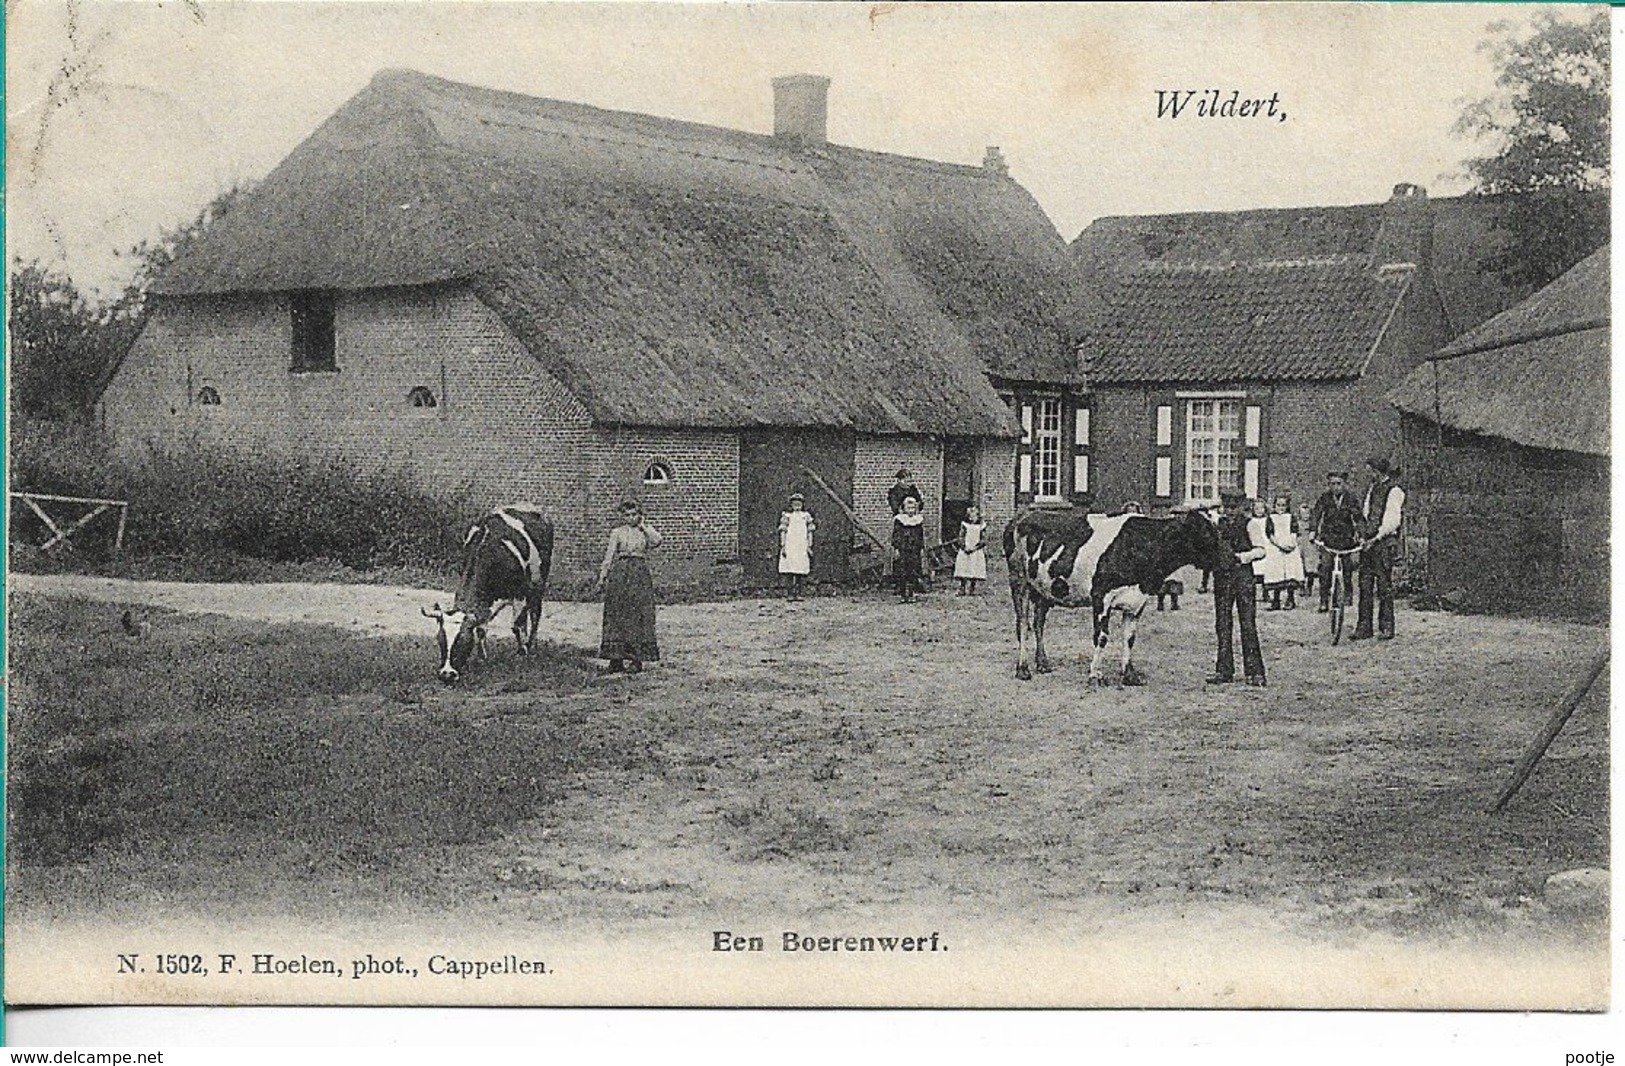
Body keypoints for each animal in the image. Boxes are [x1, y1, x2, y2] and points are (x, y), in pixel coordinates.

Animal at [422, 500, 555, 682]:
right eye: (440, 640)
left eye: (463, 640)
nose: (447, 674)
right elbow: (481, 629)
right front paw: (482, 657)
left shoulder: (519, 594)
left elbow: (516, 626)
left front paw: (522, 652)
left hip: (538, 582)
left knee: (535, 613)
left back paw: (531, 645)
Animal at [1001, 507, 1228, 685]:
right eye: (1205, 533)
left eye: (1223, 531)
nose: (1228, 560)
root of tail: (1021, 516)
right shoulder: (1101, 597)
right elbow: (1101, 637)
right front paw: (1095, 675)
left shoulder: (1137, 600)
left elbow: (1129, 638)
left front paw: (1129, 675)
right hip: (1018, 579)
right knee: (1023, 624)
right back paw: (1023, 669)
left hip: (1043, 589)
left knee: (1039, 622)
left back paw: (1043, 663)